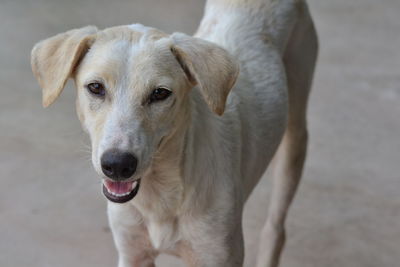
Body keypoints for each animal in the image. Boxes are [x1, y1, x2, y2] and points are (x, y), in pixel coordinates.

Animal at [30, 0, 318, 266]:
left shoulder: (219, 256)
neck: (160, 193)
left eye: (160, 93)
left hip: (294, 138)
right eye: (95, 87)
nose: (117, 165)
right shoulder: (133, 253)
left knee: (276, 227)